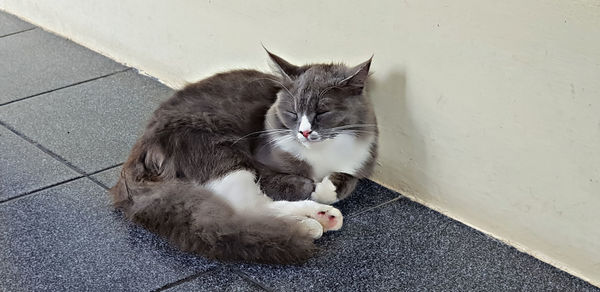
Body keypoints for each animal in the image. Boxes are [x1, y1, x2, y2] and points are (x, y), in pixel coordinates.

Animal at [110, 50, 378, 264]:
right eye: (292, 113)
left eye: (322, 112)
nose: (304, 132)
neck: (322, 153)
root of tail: (139, 149)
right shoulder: (262, 161)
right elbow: (303, 183)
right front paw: (316, 188)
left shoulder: (362, 161)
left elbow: (348, 180)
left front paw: (330, 186)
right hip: (223, 154)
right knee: (247, 207)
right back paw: (310, 224)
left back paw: (321, 218)